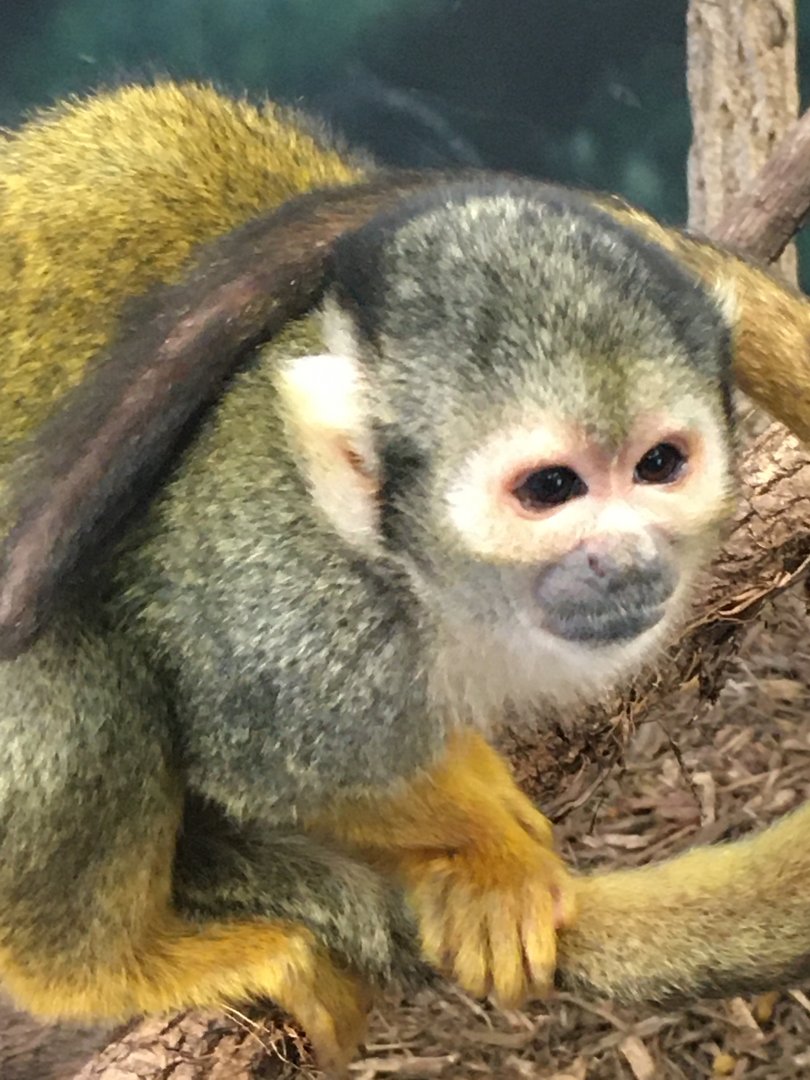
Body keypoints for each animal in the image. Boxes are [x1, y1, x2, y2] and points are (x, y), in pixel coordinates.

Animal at [0, 82, 807, 1071]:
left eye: (660, 465)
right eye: (551, 489)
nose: (627, 559)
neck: (423, 586)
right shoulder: (286, 617)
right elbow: (267, 765)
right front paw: (487, 849)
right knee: (76, 667)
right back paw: (95, 971)